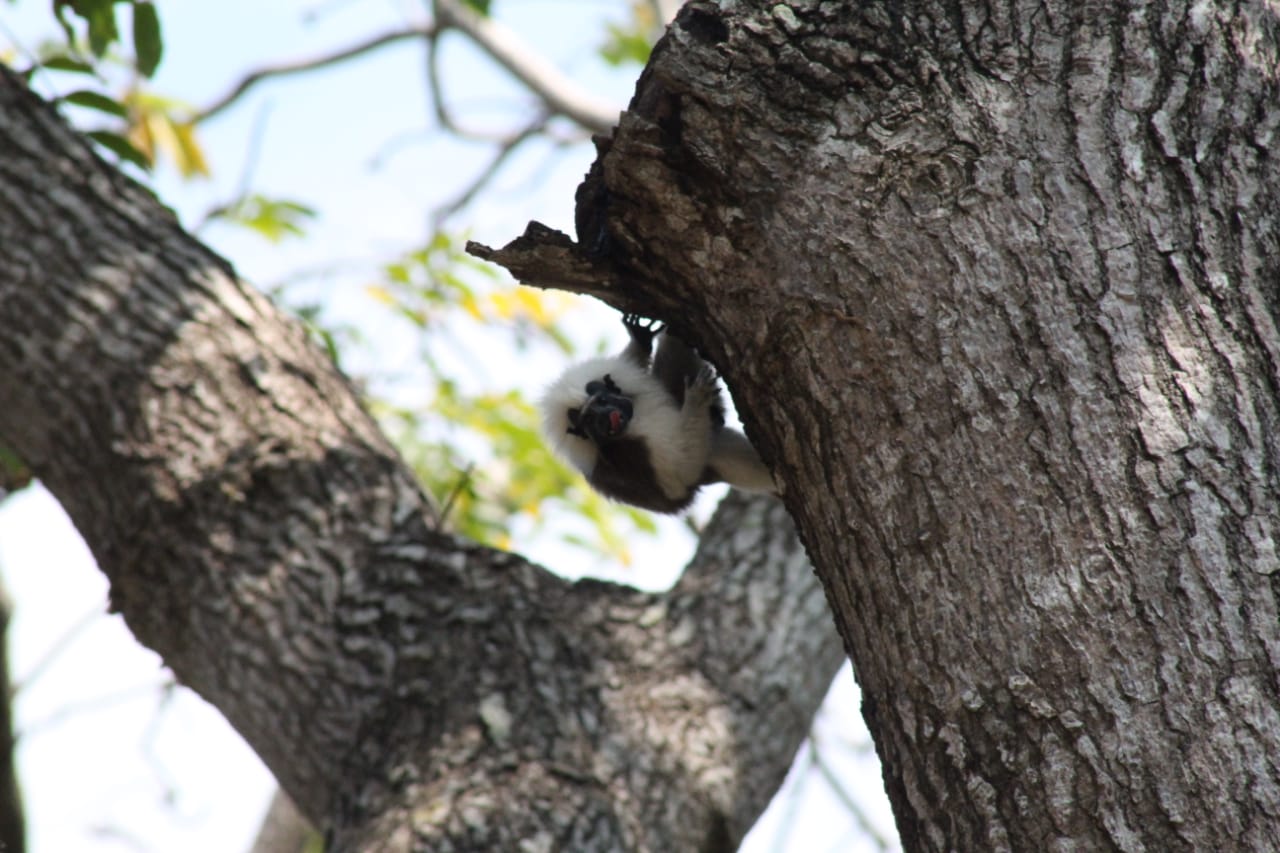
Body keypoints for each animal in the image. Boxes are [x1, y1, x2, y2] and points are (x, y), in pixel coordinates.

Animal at [537, 312, 773, 512]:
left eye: (602, 402)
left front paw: (639, 339)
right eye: (588, 420)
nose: (605, 420)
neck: (634, 420)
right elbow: (682, 473)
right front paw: (696, 398)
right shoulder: (635, 452)